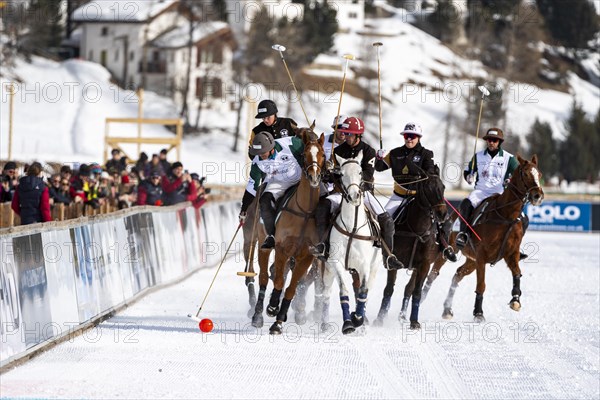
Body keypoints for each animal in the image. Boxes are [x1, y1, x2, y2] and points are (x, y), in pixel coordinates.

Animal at [322, 152, 382, 334]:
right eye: (341, 174)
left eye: (360, 172)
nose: (354, 196)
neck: (352, 227)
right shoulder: (336, 262)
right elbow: (344, 290)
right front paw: (348, 323)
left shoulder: (365, 266)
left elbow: (362, 291)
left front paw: (357, 319)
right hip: (328, 268)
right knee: (326, 293)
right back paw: (325, 324)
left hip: (374, 267)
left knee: (365, 291)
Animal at [370, 167, 450, 330]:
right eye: (427, 188)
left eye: (443, 187)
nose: (442, 214)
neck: (416, 229)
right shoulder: (393, 261)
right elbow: (388, 289)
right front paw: (379, 319)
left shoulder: (424, 264)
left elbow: (417, 292)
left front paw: (414, 321)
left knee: (409, 288)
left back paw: (402, 316)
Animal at [424, 153, 548, 322]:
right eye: (526, 173)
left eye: (539, 174)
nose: (538, 196)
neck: (505, 215)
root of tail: (449, 216)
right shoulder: (482, 255)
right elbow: (481, 285)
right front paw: (478, 313)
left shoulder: (511, 254)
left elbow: (517, 273)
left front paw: (515, 300)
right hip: (450, 251)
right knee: (433, 275)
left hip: (471, 260)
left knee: (457, 275)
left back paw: (447, 309)